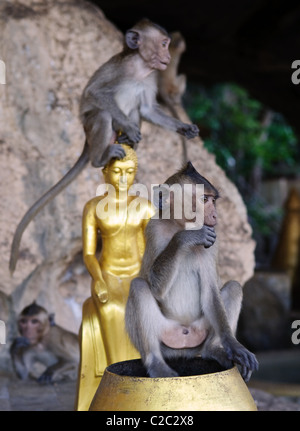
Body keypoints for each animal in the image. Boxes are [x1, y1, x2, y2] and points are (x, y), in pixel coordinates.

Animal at [8, 19, 198, 274]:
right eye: (164, 43)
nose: (167, 56)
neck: (139, 68)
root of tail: (88, 141)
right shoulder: (119, 71)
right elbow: (95, 93)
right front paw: (128, 125)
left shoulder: (151, 79)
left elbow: (147, 110)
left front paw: (184, 128)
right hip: (91, 127)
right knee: (103, 115)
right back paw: (104, 153)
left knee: (135, 109)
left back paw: (129, 142)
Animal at [125, 162, 258, 382]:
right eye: (204, 199)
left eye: (213, 200)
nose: (215, 215)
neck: (179, 224)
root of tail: (184, 347)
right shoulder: (154, 229)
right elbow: (155, 287)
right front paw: (187, 237)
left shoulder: (213, 241)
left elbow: (210, 292)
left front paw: (234, 345)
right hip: (165, 336)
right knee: (138, 286)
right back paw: (156, 364)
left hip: (199, 332)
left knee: (233, 287)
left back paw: (214, 349)